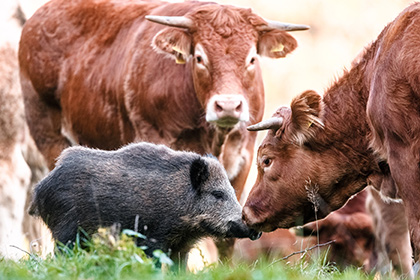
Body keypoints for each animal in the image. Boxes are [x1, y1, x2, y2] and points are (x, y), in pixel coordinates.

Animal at [18, 0, 308, 258]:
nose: (227, 106)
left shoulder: (244, 157)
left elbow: (224, 240)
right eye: (199, 56)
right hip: (46, 134)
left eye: (251, 58)